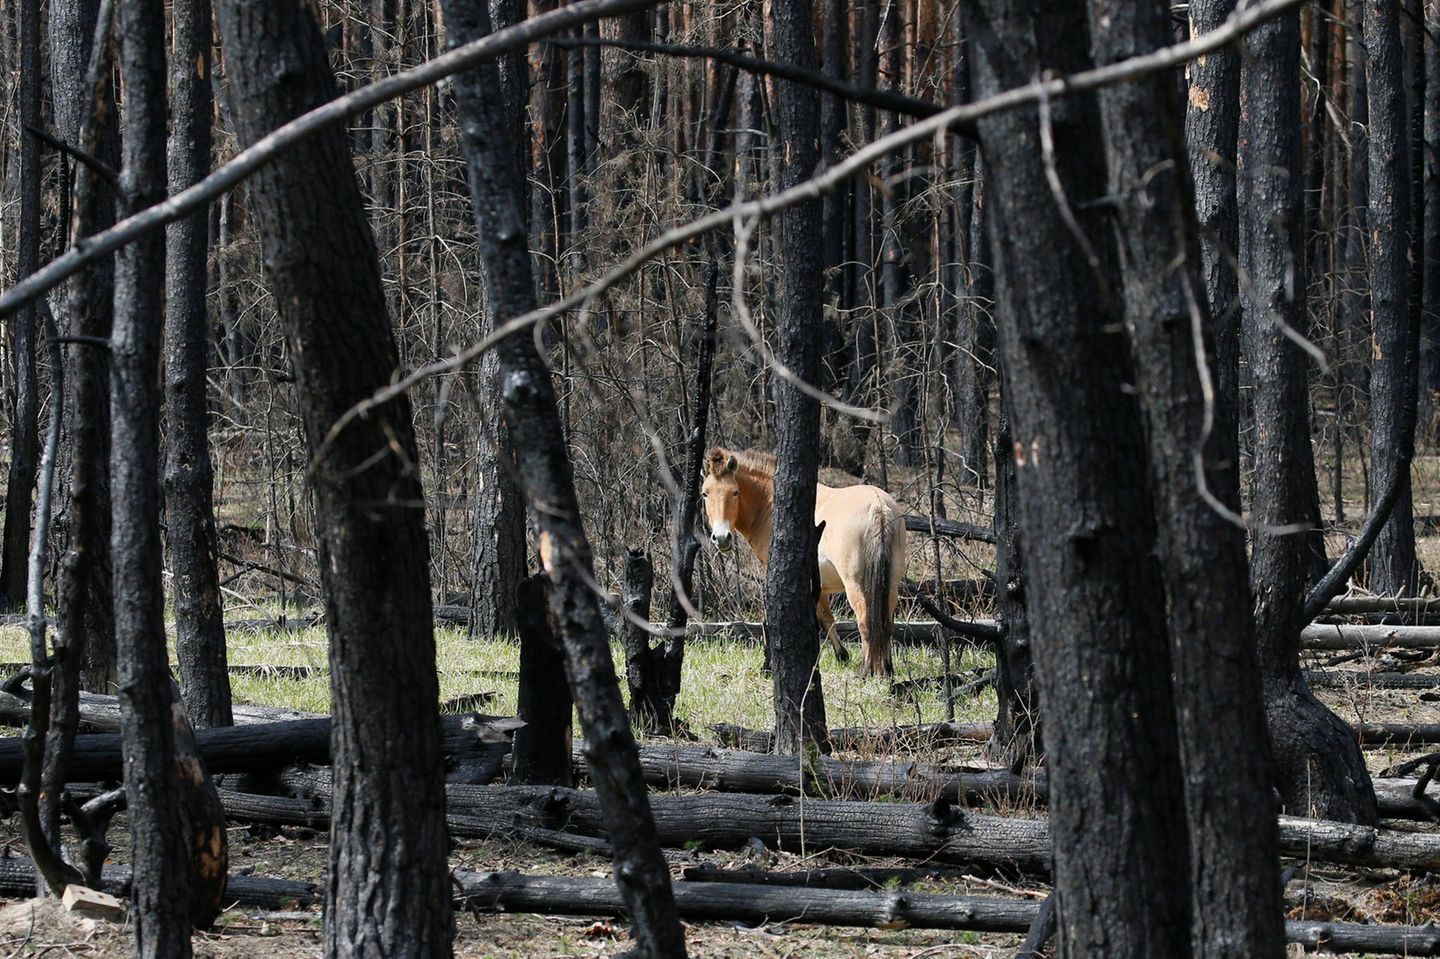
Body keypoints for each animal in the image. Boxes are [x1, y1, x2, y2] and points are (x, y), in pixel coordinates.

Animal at [699, 446, 910, 676]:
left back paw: (866, 672)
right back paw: (886, 669)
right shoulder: (818, 585)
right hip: (891, 583)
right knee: (886, 623)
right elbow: (826, 617)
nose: (722, 538)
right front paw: (841, 655)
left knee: (865, 623)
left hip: (855, 585)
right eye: (705, 493)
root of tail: (878, 506)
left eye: (735, 492)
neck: (772, 504)